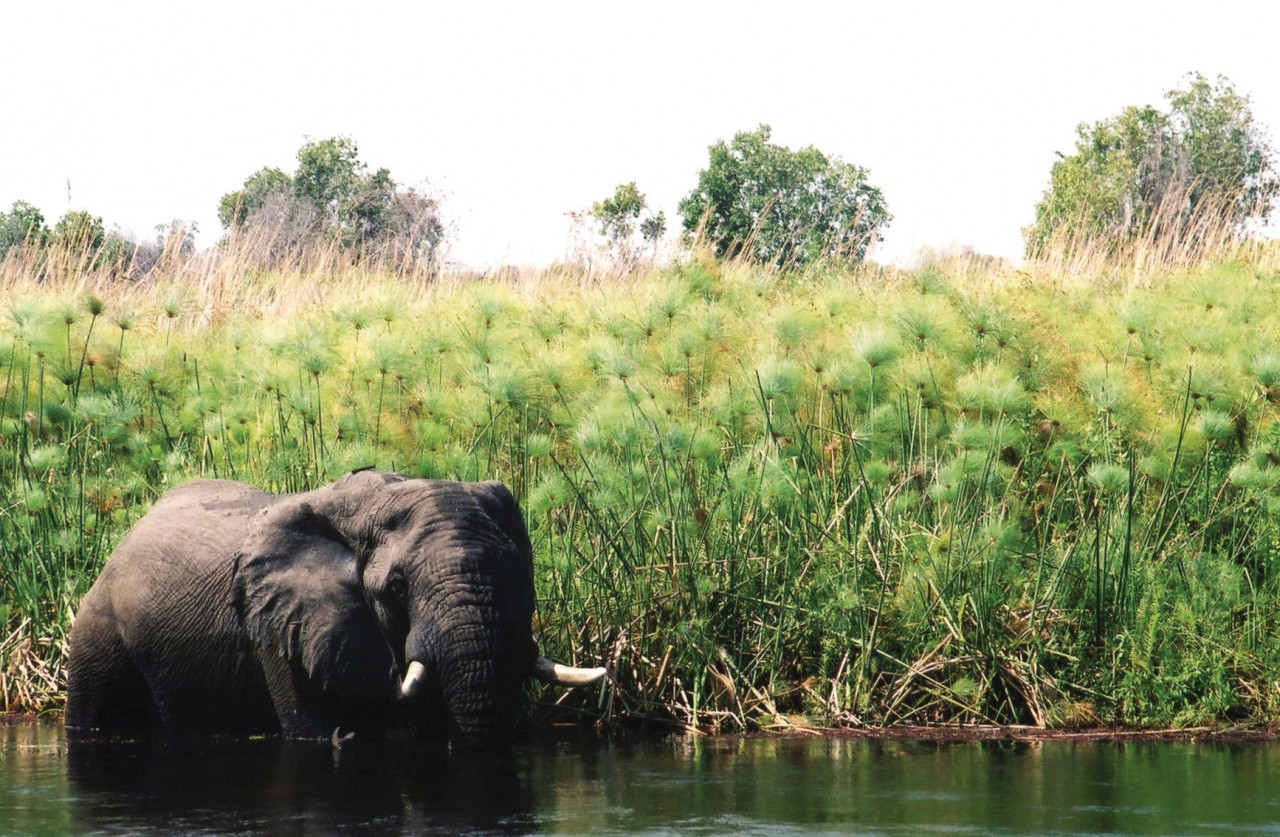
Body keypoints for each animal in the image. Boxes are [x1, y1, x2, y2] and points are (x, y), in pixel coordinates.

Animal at [67, 468, 606, 752]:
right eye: (396, 586)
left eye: (518, 574)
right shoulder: (281, 630)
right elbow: (312, 731)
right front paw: (341, 735)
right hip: (97, 635)